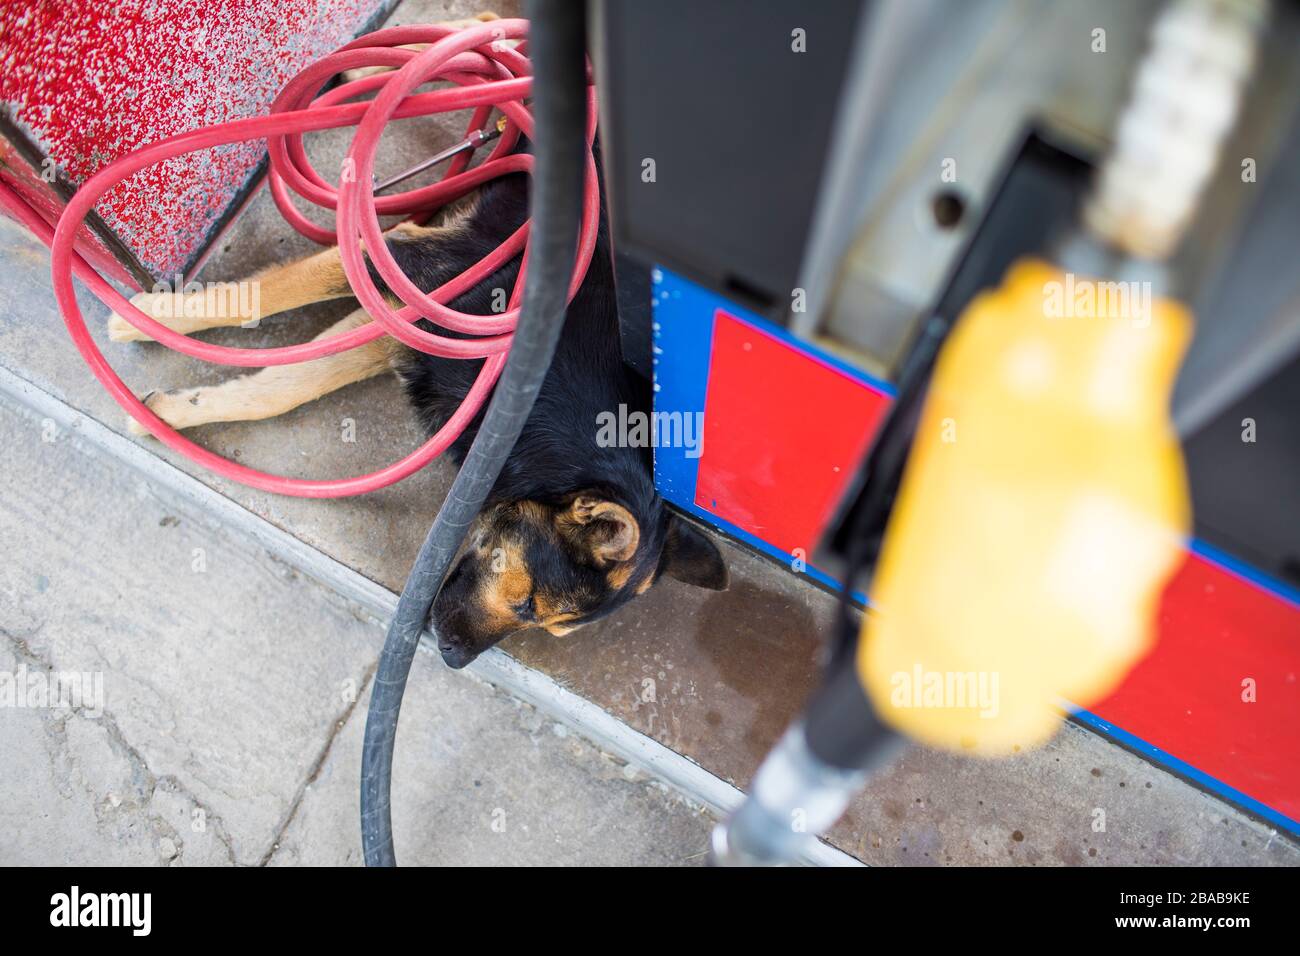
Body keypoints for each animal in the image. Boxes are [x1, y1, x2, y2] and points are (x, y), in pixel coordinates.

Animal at [109, 106, 733, 665]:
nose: (452, 660)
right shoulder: (403, 263)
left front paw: (171, 411)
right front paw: (147, 318)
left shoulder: (402, 329)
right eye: (529, 605)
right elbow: (261, 303)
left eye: (545, 624)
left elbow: (285, 386)